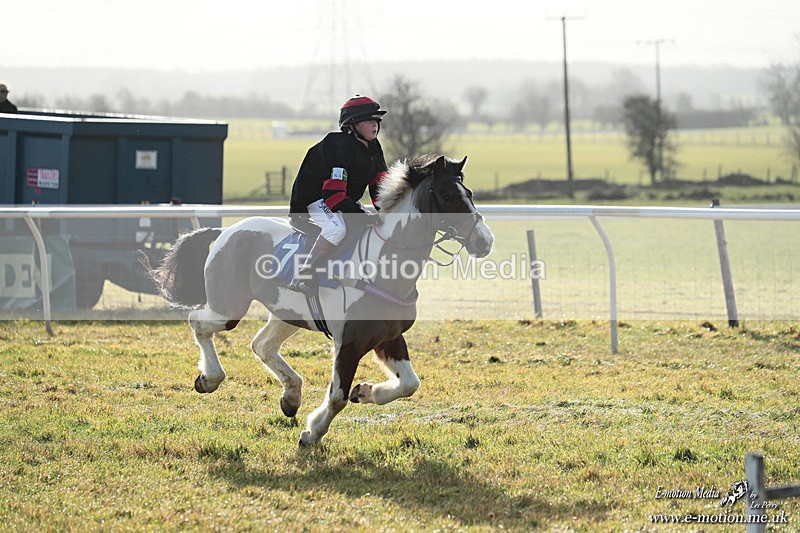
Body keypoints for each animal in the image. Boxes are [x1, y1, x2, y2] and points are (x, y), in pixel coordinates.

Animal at [146, 154, 495, 445]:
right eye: (449, 196)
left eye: (470, 193)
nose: (485, 241)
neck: (382, 266)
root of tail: (223, 232)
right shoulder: (349, 343)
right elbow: (338, 396)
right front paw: (313, 433)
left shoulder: (389, 337)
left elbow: (410, 384)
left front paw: (365, 392)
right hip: (228, 308)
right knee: (199, 323)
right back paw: (210, 378)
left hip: (287, 314)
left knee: (262, 345)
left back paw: (291, 395)